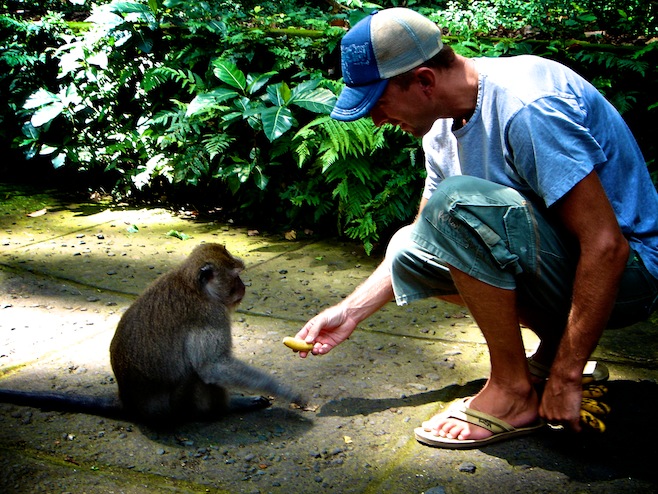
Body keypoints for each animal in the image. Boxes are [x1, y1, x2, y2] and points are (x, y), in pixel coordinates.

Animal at [0, 243, 303, 428]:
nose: (244, 286)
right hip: (178, 406)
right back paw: (226, 409)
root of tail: (128, 401)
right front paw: (280, 389)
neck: (194, 286)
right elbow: (211, 366)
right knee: (197, 374)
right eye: (235, 274)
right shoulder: (212, 314)